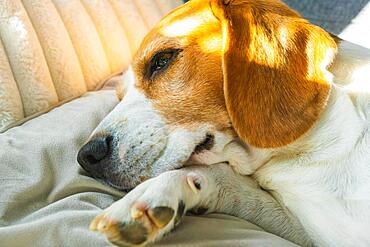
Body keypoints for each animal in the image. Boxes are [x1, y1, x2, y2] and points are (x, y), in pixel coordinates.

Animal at [77, 0, 370, 246]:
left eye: (162, 60)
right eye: (119, 95)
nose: (87, 156)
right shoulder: (315, 229)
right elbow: (225, 178)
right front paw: (154, 194)